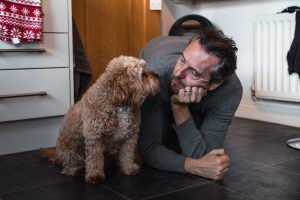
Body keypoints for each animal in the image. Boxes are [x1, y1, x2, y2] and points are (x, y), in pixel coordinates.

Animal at [41, 55, 162, 184]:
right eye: (142, 74)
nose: (157, 75)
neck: (121, 104)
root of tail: (58, 154)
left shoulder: (130, 137)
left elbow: (127, 155)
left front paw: (128, 169)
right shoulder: (94, 137)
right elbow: (95, 159)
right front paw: (95, 176)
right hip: (71, 151)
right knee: (69, 166)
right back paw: (76, 169)